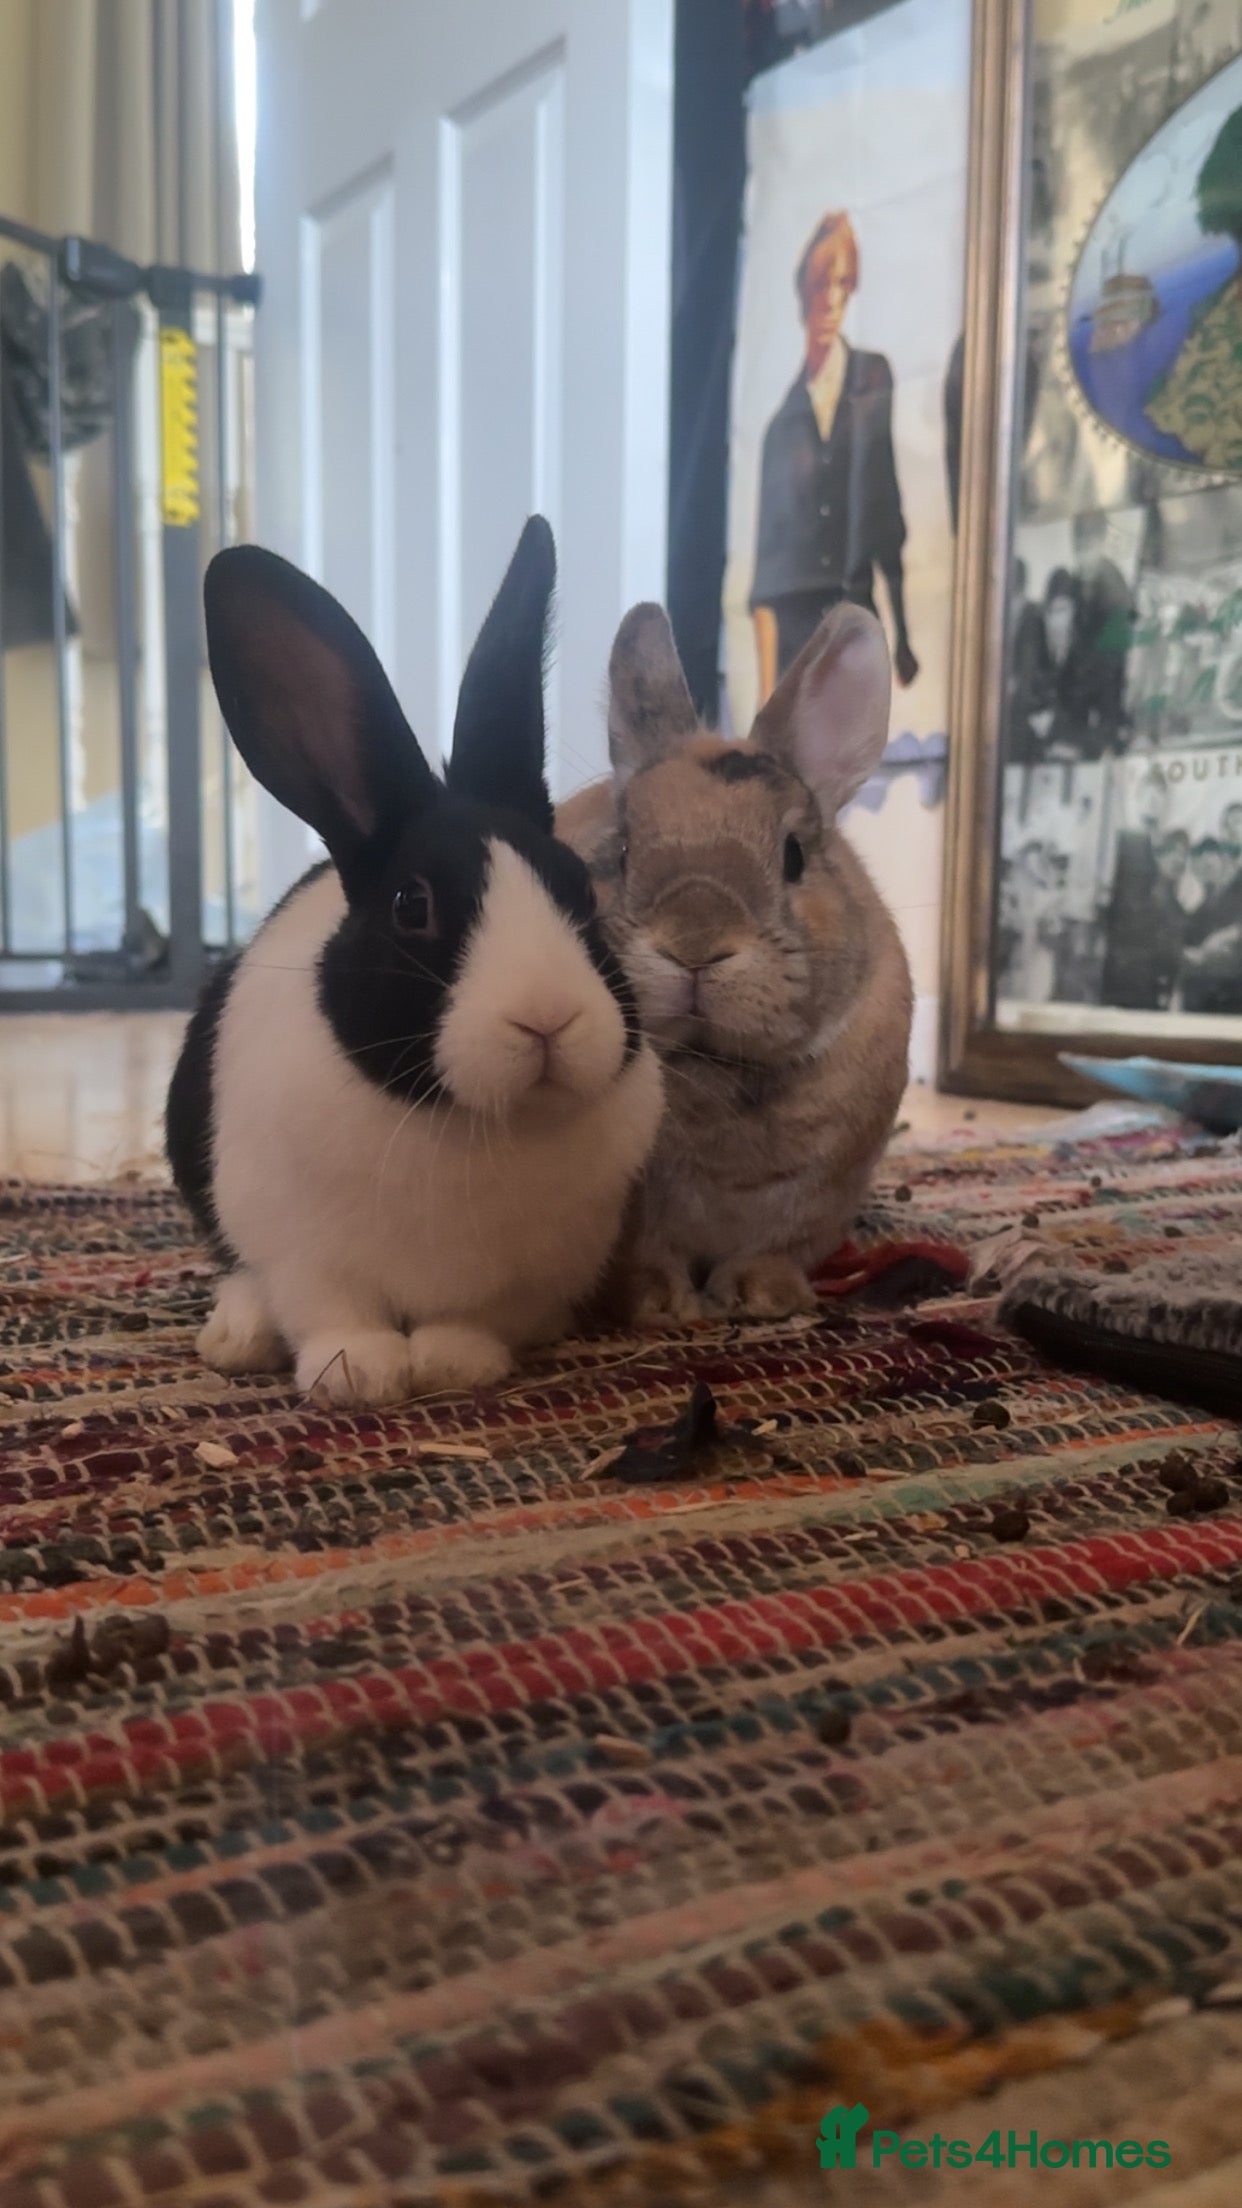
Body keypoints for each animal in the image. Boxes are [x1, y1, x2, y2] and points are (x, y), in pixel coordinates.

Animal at [165, 518, 663, 1407]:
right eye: (411, 905)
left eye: (579, 890)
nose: (547, 1019)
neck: (477, 1124)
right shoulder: (305, 1253)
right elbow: (330, 1308)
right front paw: (356, 1373)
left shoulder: (528, 1271)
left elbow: (478, 1318)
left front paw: (452, 1362)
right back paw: (238, 1333)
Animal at [556, 598, 912, 1324]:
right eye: (623, 851)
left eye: (794, 855)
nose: (693, 943)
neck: (715, 1068)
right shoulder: (629, 1220)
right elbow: (642, 1258)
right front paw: (657, 1306)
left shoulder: (811, 1210)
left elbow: (772, 1250)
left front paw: (764, 1298)